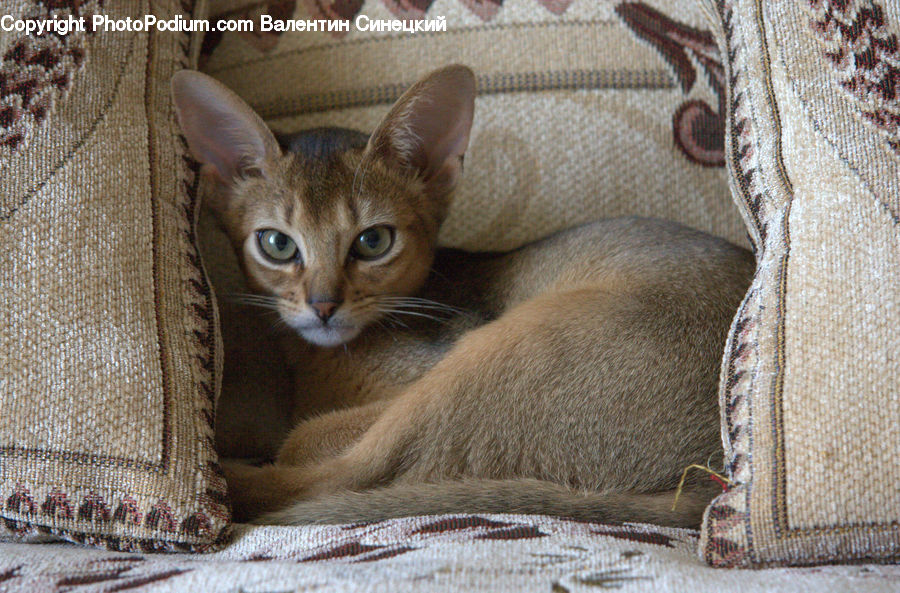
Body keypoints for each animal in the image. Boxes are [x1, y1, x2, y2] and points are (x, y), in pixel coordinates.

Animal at [172, 66, 756, 528]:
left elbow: (306, 437)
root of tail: (710, 479)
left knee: (339, 478)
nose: (323, 305)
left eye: (373, 241)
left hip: (496, 358)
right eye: (276, 244)